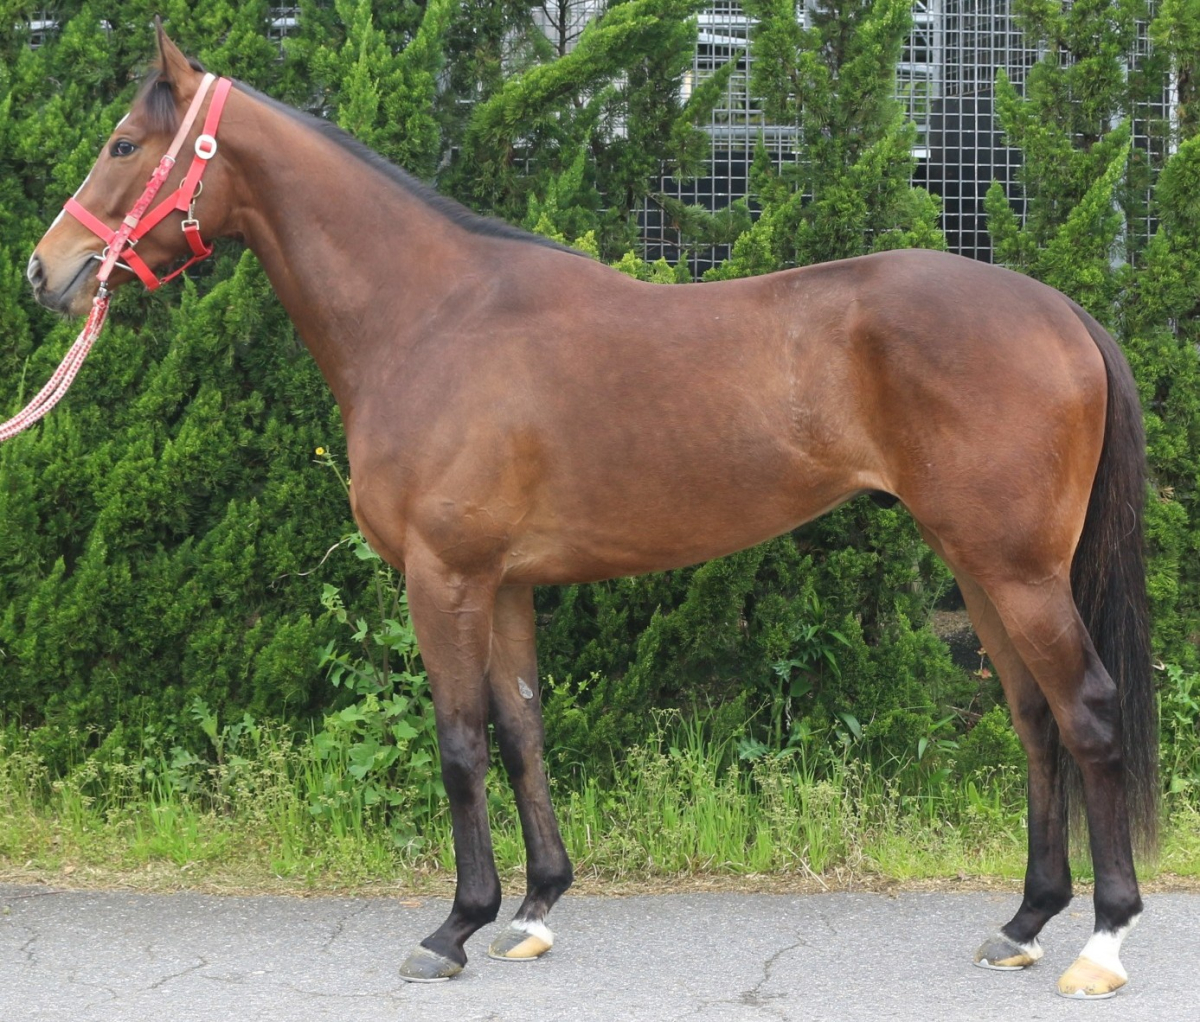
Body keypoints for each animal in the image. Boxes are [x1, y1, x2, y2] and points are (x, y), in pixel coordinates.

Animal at [25, 26, 1157, 999]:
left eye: (123, 143)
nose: (47, 270)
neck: (430, 318)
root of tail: (1062, 311)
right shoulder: (504, 584)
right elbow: (523, 730)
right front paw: (532, 911)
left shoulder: (442, 577)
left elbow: (460, 742)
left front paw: (454, 927)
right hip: (979, 565)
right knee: (1035, 719)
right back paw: (1023, 922)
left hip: (1016, 570)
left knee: (1089, 712)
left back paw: (1101, 942)